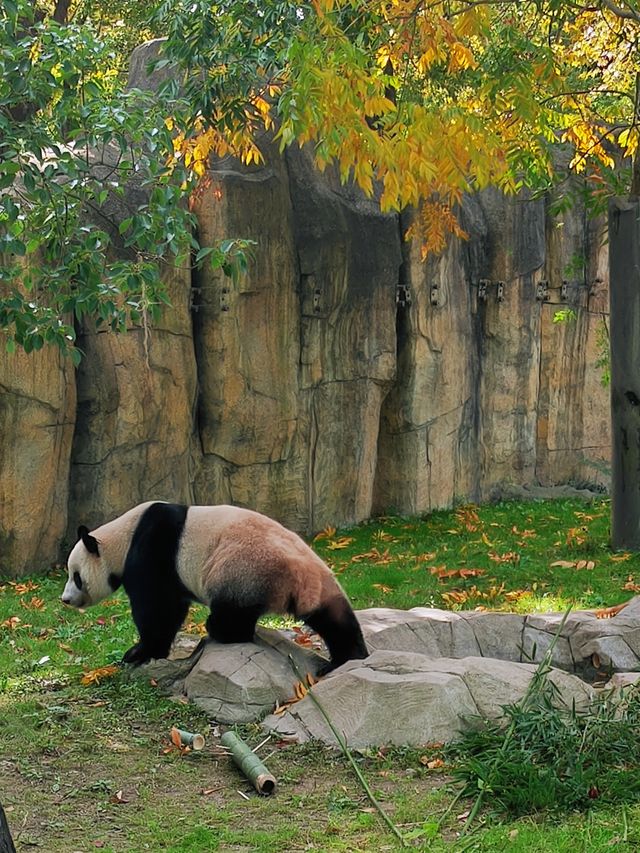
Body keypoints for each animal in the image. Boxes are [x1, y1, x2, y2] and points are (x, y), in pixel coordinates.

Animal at [63, 500, 370, 672]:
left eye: (75, 576)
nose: (65, 600)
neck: (122, 536)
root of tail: (299, 574)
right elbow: (172, 607)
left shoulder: (152, 550)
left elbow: (157, 607)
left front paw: (141, 652)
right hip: (315, 583)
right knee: (333, 615)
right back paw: (348, 657)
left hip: (243, 570)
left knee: (234, 612)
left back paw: (219, 629)